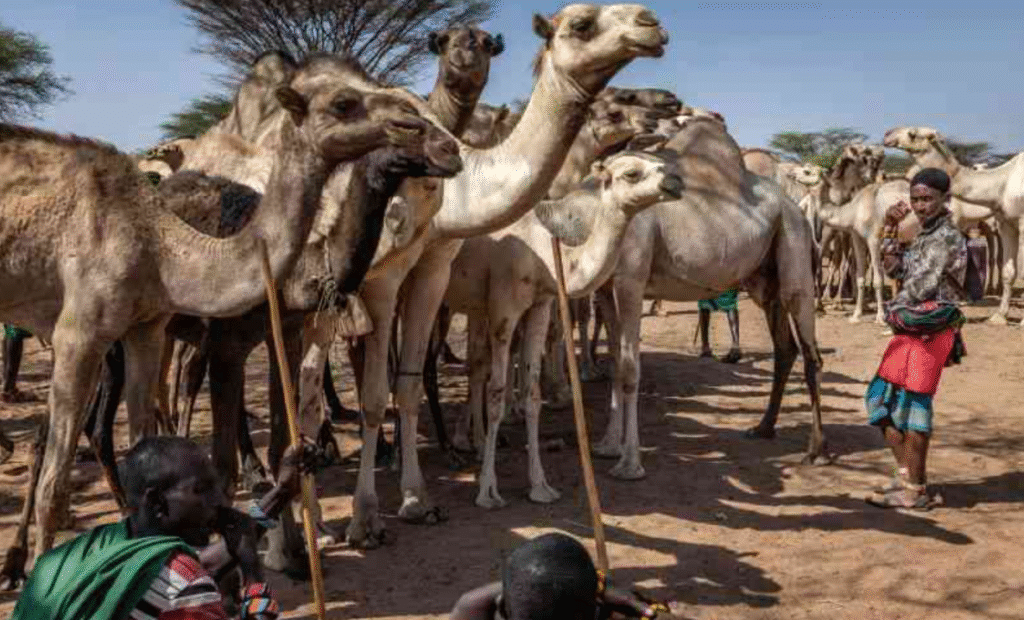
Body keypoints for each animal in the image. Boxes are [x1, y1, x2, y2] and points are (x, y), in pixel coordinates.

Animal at [0, 52, 449, 574]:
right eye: (343, 101)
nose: (437, 140)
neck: (159, 245)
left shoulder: (165, 329)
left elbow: (256, 442)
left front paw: (291, 552)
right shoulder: (98, 333)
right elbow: (64, 486)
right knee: (61, 440)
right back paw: (19, 558)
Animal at [591, 112, 825, 479]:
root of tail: (797, 210)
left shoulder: (630, 281)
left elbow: (629, 368)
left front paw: (629, 464)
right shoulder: (604, 289)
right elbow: (615, 363)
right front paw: (607, 446)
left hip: (794, 244)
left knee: (810, 350)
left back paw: (816, 451)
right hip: (765, 279)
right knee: (785, 349)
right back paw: (763, 428)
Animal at [883, 126, 1024, 326]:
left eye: (913, 133)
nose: (887, 135)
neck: (1001, 184)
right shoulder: (1006, 223)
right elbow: (1008, 271)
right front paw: (998, 316)